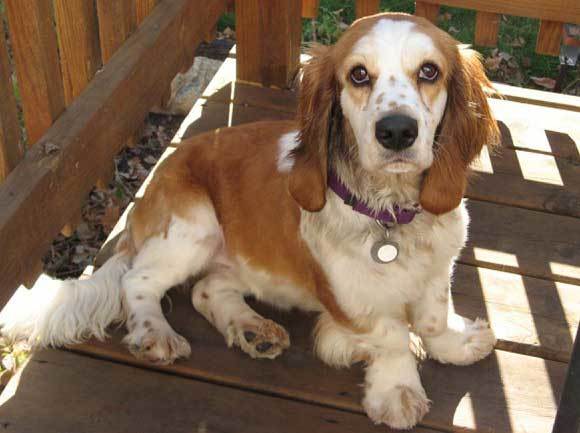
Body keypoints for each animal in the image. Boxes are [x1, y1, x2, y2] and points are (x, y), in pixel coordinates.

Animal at [0, 12, 498, 428]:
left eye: (429, 71)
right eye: (358, 75)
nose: (396, 131)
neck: (390, 214)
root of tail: (145, 203)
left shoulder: (437, 270)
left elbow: (433, 320)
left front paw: (457, 346)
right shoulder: (352, 300)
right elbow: (392, 335)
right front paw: (398, 393)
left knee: (205, 290)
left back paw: (252, 329)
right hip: (193, 226)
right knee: (137, 282)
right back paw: (156, 333)